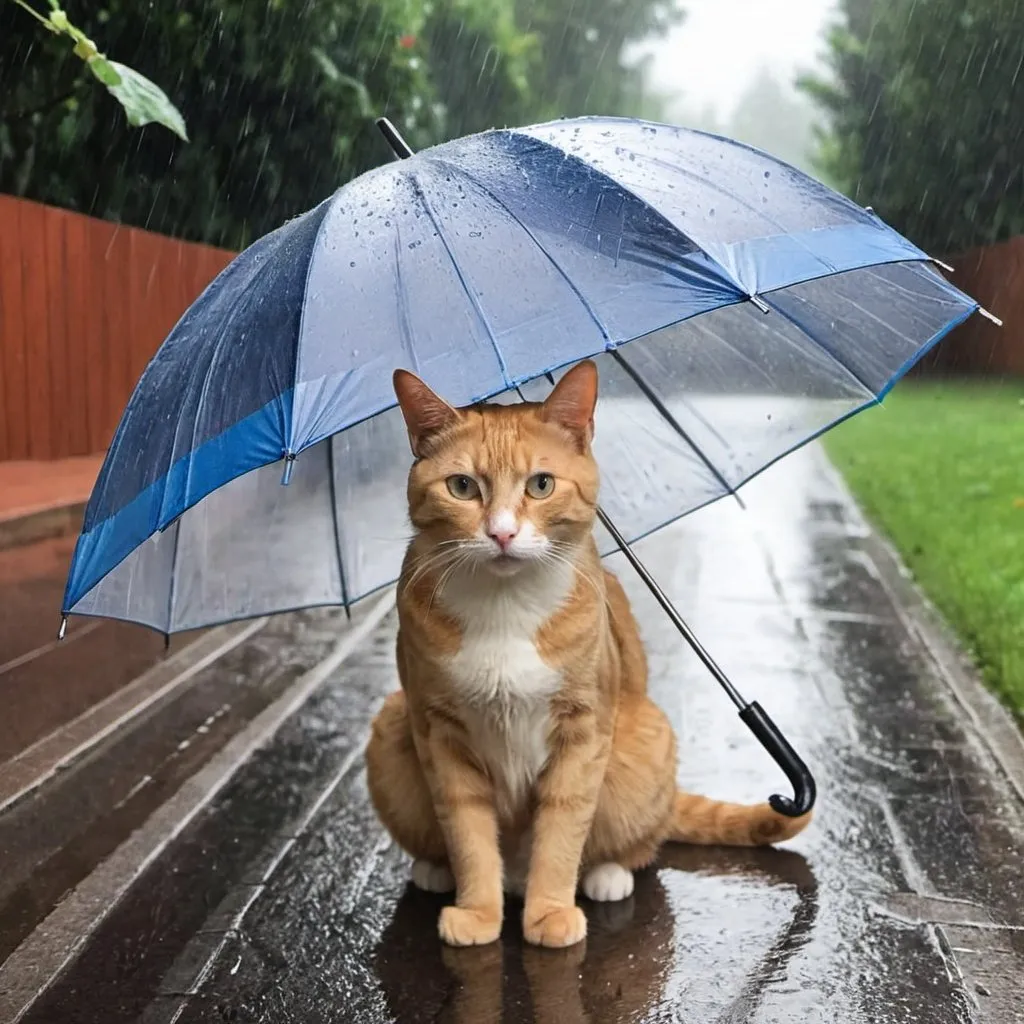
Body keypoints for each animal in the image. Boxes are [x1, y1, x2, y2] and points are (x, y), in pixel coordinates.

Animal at [364, 356, 811, 946]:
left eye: (541, 484)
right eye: (462, 487)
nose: (502, 534)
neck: (504, 604)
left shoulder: (584, 730)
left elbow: (563, 827)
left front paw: (550, 911)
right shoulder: (439, 732)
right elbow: (467, 831)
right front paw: (479, 912)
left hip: (645, 739)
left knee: (637, 844)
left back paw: (606, 875)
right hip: (393, 726)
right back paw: (437, 871)